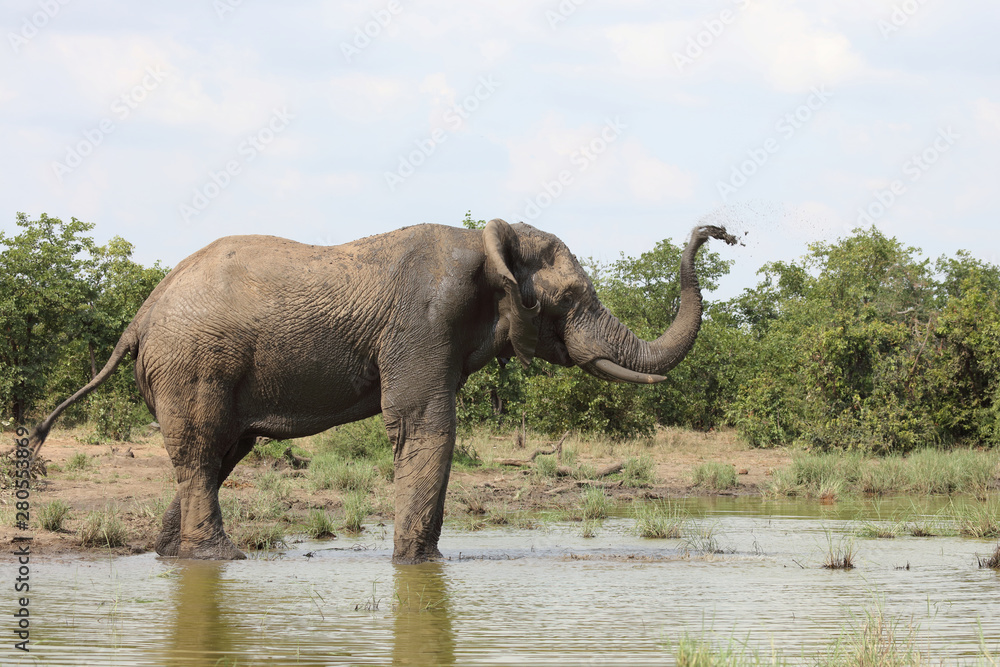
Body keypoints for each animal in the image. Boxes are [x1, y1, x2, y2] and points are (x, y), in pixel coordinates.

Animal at [28, 219, 736, 563]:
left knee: (217, 456)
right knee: (204, 453)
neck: (484, 244)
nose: (719, 232)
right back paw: (220, 559)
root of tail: (141, 315)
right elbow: (426, 429)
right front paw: (421, 568)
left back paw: (171, 556)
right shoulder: (422, 323)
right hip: (194, 363)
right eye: (569, 298)